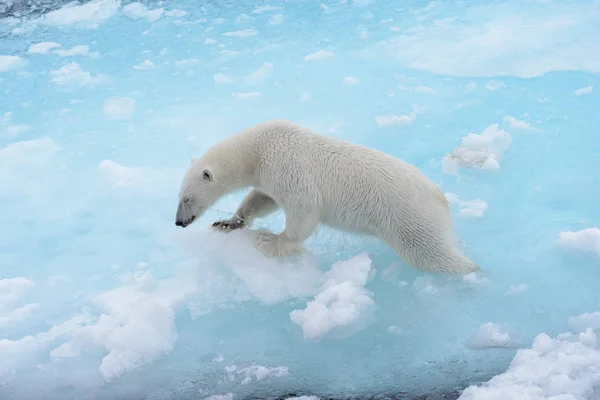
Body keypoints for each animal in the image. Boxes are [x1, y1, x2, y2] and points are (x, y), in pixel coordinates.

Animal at [176, 119, 480, 276]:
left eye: (186, 199)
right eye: (178, 196)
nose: (180, 222)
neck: (258, 149)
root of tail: (441, 199)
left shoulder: (286, 164)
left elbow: (304, 207)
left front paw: (270, 241)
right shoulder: (269, 174)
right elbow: (261, 200)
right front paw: (228, 222)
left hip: (409, 219)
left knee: (431, 254)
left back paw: (474, 268)